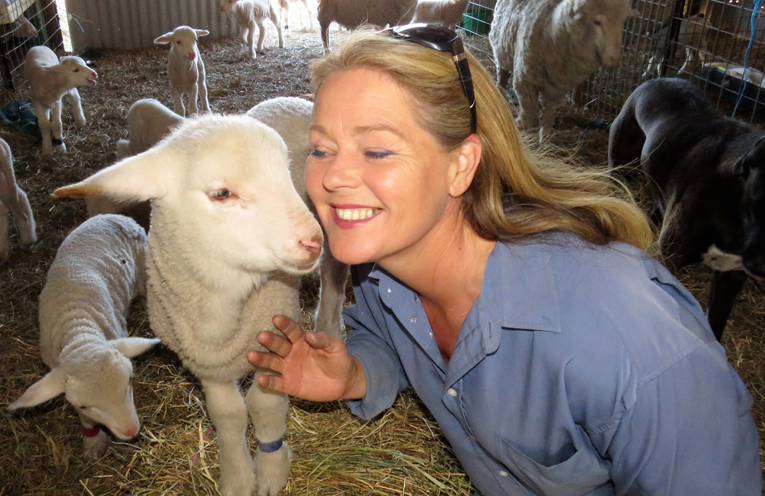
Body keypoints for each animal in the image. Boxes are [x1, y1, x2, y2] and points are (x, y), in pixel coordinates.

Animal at [7, 215, 160, 464]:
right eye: (84, 405)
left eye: (129, 381)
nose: (131, 431)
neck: (79, 331)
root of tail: (111, 216)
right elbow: (85, 420)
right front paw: (92, 442)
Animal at [54, 113, 326, 496]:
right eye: (222, 193)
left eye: (286, 172)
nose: (313, 242)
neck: (225, 310)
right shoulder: (205, 361)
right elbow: (229, 415)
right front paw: (238, 475)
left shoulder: (277, 332)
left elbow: (265, 403)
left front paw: (271, 469)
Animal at [490, 0, 640, 140]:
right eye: (597, 22)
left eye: (622, 22)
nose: (614, 59)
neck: (552, 27)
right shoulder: (524, 79)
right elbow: (528, 106)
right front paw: (523, 123)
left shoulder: (557, 88)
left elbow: (549, 110)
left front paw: (545, 134)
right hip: (501, 48)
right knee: (502, 74)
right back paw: (499, 90)